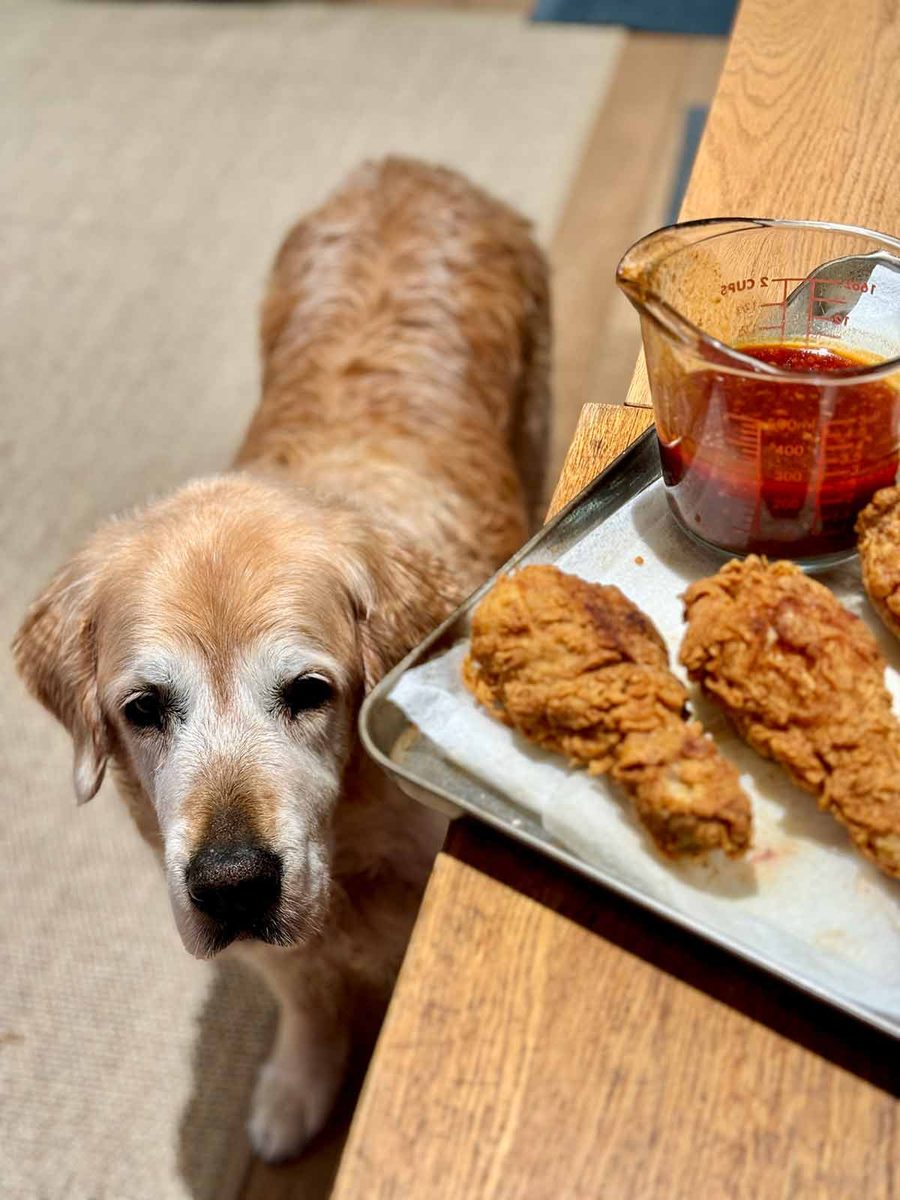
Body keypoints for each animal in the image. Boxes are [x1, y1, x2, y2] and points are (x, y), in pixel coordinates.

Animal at [13, 157, 550, 1162]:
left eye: (308, 691)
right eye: (143, 709)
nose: (230, 885)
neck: (354, 843)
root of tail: (404, 166)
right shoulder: (283, 950)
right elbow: (305, 999)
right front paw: (296, 1087)